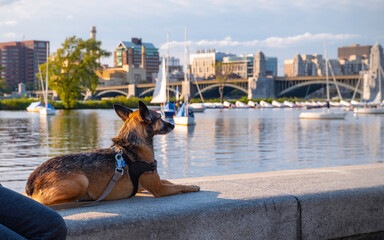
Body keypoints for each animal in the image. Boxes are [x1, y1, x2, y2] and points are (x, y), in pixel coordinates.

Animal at [25, 100, 200, 205]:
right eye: (160, 118)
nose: (172, 125)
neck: (131, 143)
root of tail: (30, 183)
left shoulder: (148, 184)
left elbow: (169, 181)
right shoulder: (159, 189)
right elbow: (179, 187)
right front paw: (191, 186)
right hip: (81, 181)